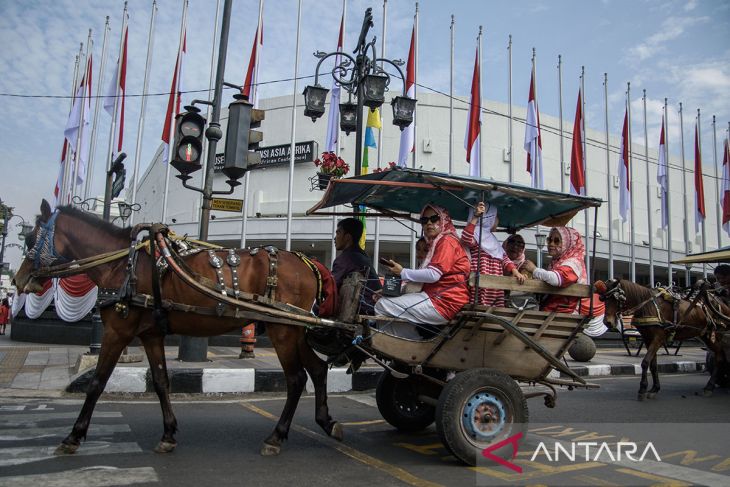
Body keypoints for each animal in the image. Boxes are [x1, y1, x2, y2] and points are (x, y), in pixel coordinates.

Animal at [11, 199, 342, 458]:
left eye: (31, 240)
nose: (18, 280)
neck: (121, 265)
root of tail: (308, 262)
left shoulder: (118, 332)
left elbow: (97, 382)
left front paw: (74, 436)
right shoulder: (151, 333)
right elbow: (160, 381)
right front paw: (168, 434)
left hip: (281, 329)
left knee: (296, 379)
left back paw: (277, 436)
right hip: (293, 328)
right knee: (316, 369)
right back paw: (327, 422)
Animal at [596, 278, 728, 400]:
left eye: (616, 299)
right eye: (603, 299)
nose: (607, 322)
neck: (647, 306)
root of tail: (720, 303)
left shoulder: (658, 338)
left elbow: (645, 362)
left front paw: (642, 389)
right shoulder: (648, 339)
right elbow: (653, 365)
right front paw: (654, 389)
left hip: (716, 334)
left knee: (719, 356)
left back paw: (710, 386)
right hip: (705, 335)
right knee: (719, 354)